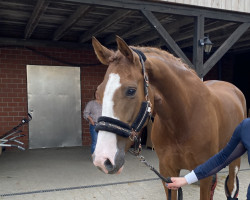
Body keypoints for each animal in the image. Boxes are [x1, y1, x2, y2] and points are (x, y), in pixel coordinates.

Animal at [92, 36, 246, 200]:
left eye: (131, 90)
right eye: (99, 92)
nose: (102, 160)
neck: (184, 120)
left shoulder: (204, 175)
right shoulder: (168, 173)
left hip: (234, 161)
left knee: (231, 186)